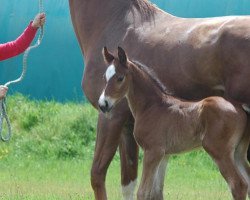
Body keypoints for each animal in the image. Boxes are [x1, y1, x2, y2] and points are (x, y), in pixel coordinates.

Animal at [98, 46, 250, 200]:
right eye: (104, 78)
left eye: (120, 78)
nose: (103, 104)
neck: (150, 106)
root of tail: (239, 106)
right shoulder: (164, 155)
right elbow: (156, 192)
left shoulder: (152, 151)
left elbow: (143, 192)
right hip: (238, 153)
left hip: (219, 151)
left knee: (238, 185)